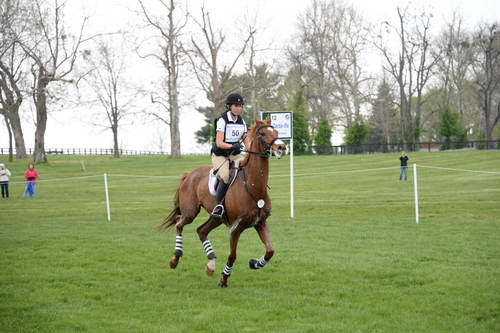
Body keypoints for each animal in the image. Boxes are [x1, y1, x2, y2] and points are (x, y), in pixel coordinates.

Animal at [158, 118, 288, 286]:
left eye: (277, 132)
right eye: (263, 134)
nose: (282, 147)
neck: (252, 185)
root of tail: (189, 175)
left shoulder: (260, 223)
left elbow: (270, 251)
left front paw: (254, 263)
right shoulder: (236, 228)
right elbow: (232, 255)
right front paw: (224, 279)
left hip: (217, 218)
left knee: (201, 230)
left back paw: (210, 264)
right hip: (191, 212)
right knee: (179, 223)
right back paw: (175, 258)